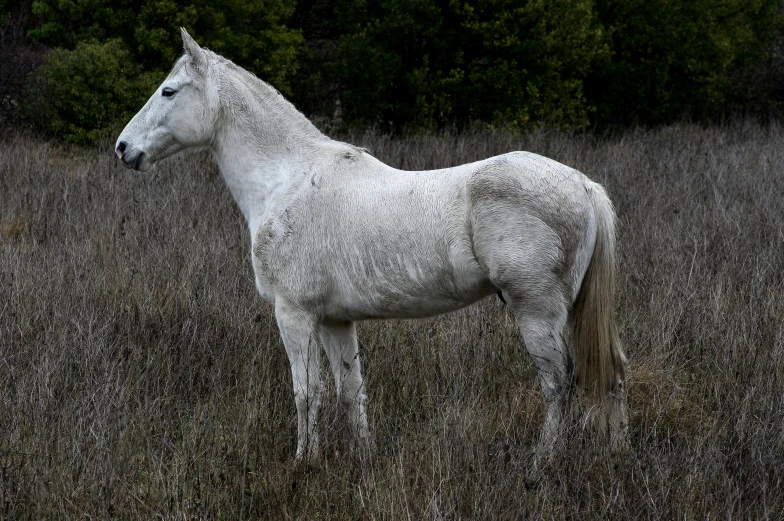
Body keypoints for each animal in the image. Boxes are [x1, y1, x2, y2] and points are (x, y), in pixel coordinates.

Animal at [118, 28, 632, 462]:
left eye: (169, 91)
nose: (123, 148)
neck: (287, 181)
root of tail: (584, 185)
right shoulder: (334, 320)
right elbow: (350, 390)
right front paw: (363, 458)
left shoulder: (294, 313)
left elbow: (306, 393)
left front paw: (304, 463)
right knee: (612, 371)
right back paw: (617, 454)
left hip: (536, 310)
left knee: (558, 383)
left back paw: (542, 460)